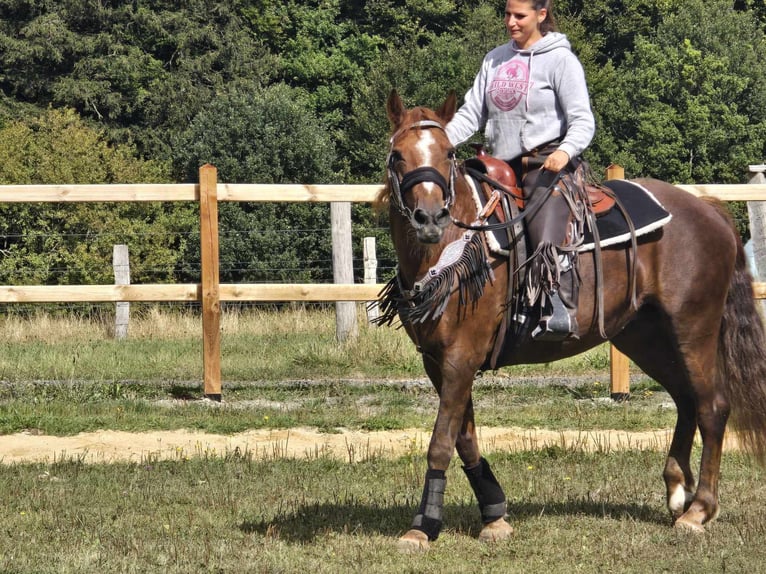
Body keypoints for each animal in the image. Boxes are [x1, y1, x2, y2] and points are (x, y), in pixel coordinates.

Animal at [384, 91, 766, 552]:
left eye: (448, 154)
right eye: (397, 155)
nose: (429, 218)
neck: (456, 249)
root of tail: (709, 210)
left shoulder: (462, 356)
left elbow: (442, 441)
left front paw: (423, 525)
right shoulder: (437, 360)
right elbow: (464, 436)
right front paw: (494, 514)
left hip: (694, 329)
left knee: (713, 407)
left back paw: (699, 510)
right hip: (646, 338)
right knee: (686, 399)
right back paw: (678, 491)